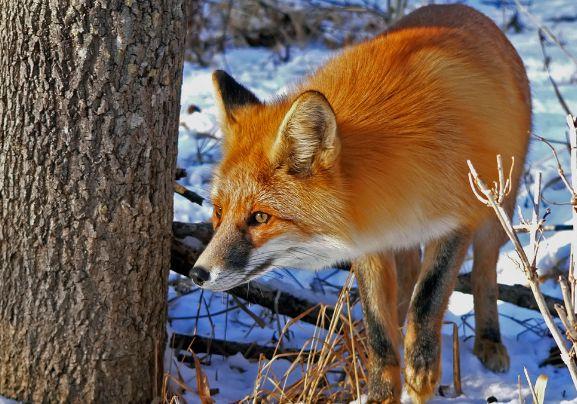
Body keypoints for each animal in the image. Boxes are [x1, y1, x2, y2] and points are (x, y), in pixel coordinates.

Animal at [190, 3, 532, 404]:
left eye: (260, 217)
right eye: (219, 212)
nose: (197, 274)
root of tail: (464, 9)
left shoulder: (456, 221)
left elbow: (427, 300)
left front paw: (421, 375)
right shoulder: (371, 239)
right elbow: (379, 330)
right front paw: (383, 390)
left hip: (497, 207)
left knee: (484, 269)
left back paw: (488, 340)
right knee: (405, 284)